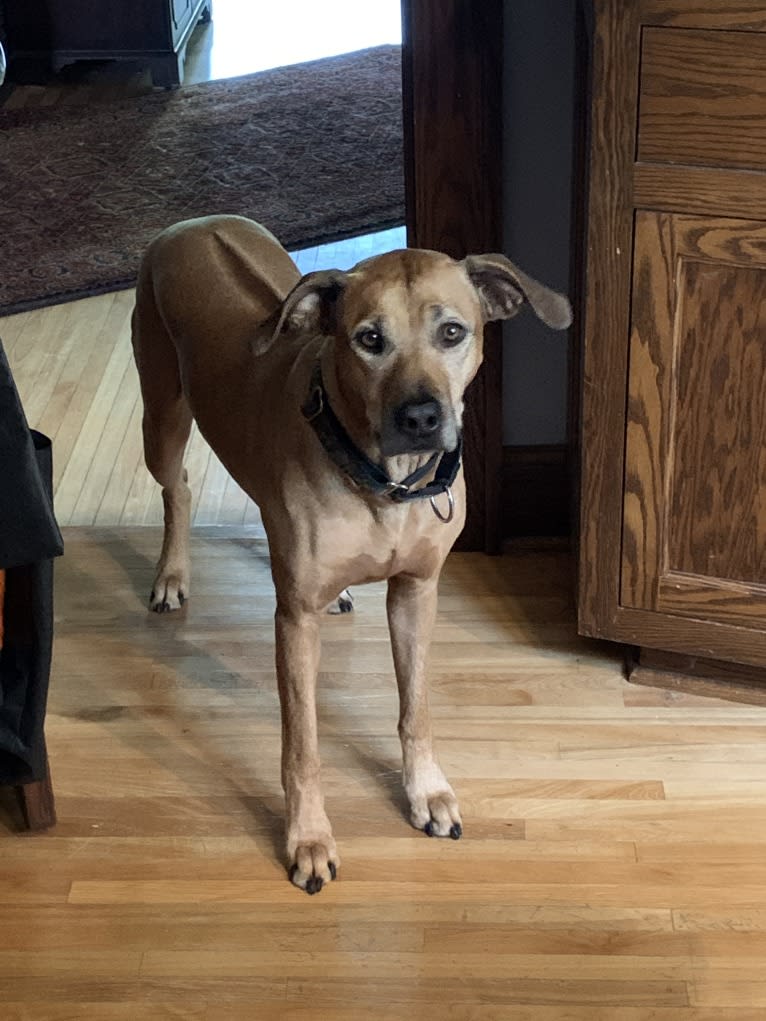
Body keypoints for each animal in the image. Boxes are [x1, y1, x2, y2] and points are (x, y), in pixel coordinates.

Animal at [130, 215, 571, 894]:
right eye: (369, 340)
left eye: (452, 332)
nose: (421, 416)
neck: (384, 483)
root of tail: (193, 223)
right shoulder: (294, 622)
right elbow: (302, 745)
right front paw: (309, 837)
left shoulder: (417, 590)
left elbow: (415, 708)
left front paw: (427, 791)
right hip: (161, 409)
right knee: (175, 485)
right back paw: (172, 574)